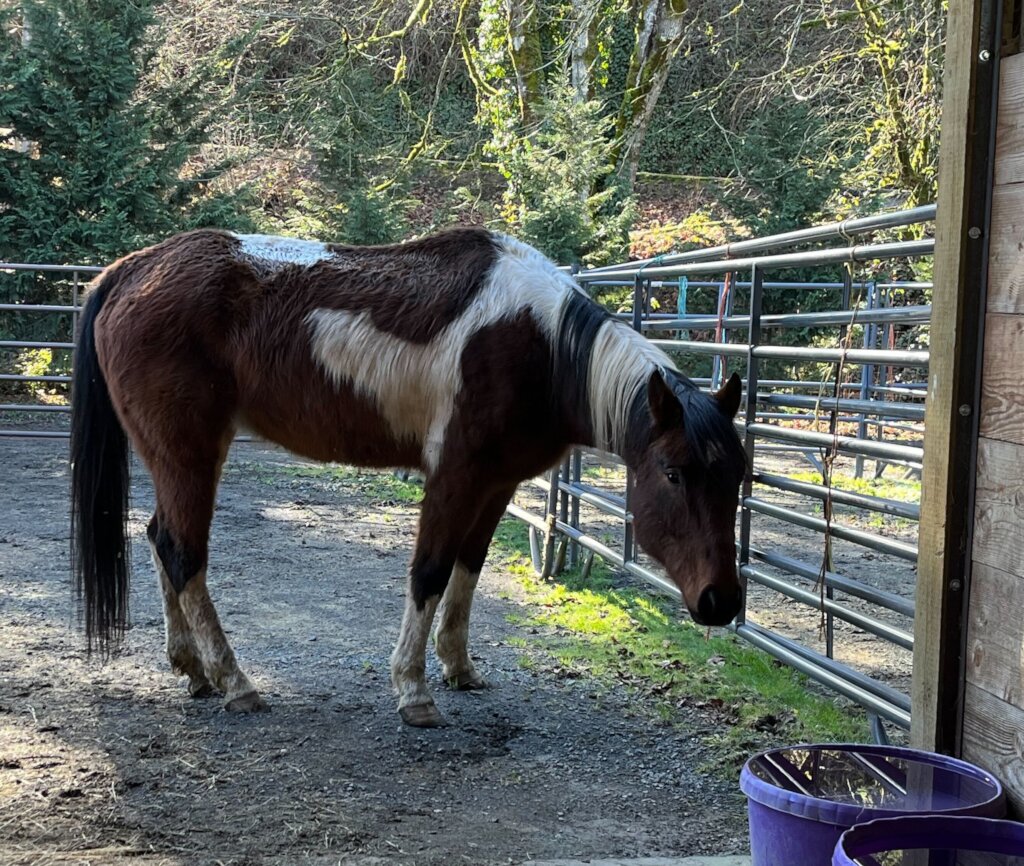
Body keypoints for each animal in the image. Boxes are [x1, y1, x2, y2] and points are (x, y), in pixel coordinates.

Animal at [70, 227, 746, 727]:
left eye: (738, 475)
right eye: (674, 474)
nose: (723, 602)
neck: (543, 348)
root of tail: (129, 271)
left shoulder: (497, 483)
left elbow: (469, 569)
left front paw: (459, 668)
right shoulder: (453, 475)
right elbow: (430, 572)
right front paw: (414, 693)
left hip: (174, 458)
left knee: (159, 540)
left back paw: (191, 669)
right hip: (189, 454)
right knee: (184, 552)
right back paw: (236, 683)